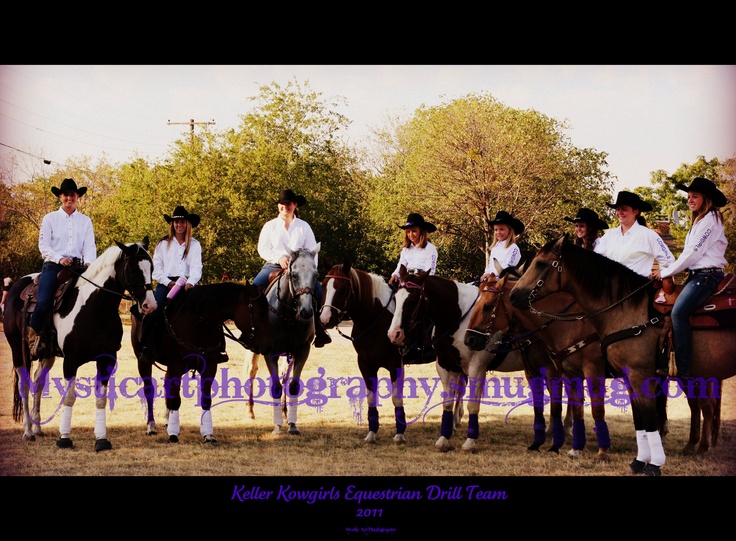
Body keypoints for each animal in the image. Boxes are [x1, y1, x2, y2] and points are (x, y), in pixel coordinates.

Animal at [4, 238, 157, 450]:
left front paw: (101, 439)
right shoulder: (71, 360)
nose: (150, 305)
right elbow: (69, 397)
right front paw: (64, 438)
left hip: (47, 355)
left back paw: (38, 428)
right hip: (19, 351)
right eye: (134, 269)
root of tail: (16, 286)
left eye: (151, 267)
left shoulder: (107, 359)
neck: (94, 309)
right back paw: (28, 431)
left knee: (38, 382)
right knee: (24, 385)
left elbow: (101, 398)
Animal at [130, 280, 274, 440]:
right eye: (259, 312)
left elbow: (205, 400)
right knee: (149, 391)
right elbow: (176, 401)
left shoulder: (209, 368)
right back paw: (151, 426)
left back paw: (167, 420)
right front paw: (173, 434)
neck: (197, 324)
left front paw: (208, 435)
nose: (268, 345)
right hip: (143, 362)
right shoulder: (176, 367)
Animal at [508, 236, 736, 472]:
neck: (625, 311)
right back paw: (694, 447)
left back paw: (699, 447)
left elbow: (636, 416)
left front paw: (648, 463)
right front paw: (637, 461)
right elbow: (635, 419)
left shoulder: (629, 374)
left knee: (705, 406)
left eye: (541, 263)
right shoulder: (617, 376)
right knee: (700, 406)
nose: (513, 295)